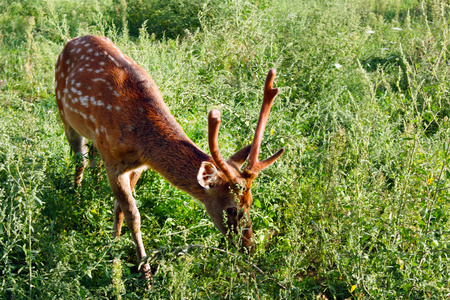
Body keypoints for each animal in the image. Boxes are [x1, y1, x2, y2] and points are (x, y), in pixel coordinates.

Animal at [53, 35, 284, 278]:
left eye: (250, 202)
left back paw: (94, 191)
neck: (141, 139)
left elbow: (119, 209)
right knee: (79, 157)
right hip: (63, 110)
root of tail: (73, 40)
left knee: (91, 159)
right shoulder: (112, 159)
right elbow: (133, 216)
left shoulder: (138, 166)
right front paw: (133, 267)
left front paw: (117, 248)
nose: (249, 247)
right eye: (231, 208)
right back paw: (77, 197)